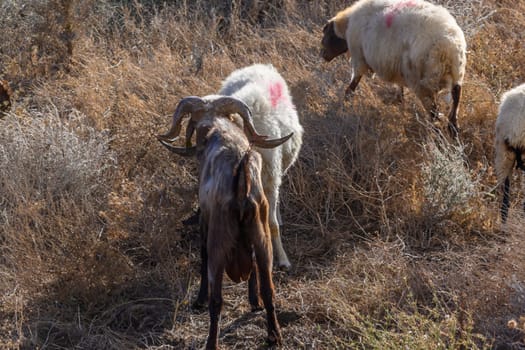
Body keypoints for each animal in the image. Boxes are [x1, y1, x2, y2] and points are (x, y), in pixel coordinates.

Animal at [159, 64, 302, 270]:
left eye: (222, 118)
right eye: (195, 120)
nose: (204, 140)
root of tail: (258, 66)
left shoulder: (269, 183)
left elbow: (272, 224)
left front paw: (283, 260)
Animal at [159, 95, 290, 348]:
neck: (218, 128)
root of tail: (242, 178)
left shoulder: (205, 221)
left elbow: (202, 258)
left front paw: (199, 300)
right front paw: (254, 301)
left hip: (219, 243)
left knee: (217, 299)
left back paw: (211, 342)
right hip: (262, 239)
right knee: (269, 289)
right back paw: (274, 335)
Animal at [322, 0, 464, 136]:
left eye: (327, 36)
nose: (323, 56)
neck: (347, 26)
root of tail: (448, 46)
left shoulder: (359, 58)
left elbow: (352, 86)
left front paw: (344, 103)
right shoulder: (396, 68)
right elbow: (399, 87)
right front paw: (400, 101)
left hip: (423, 83)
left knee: (434, 113)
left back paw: (438, 134)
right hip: (457, 73)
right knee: (455, 98)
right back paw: (453, 129)